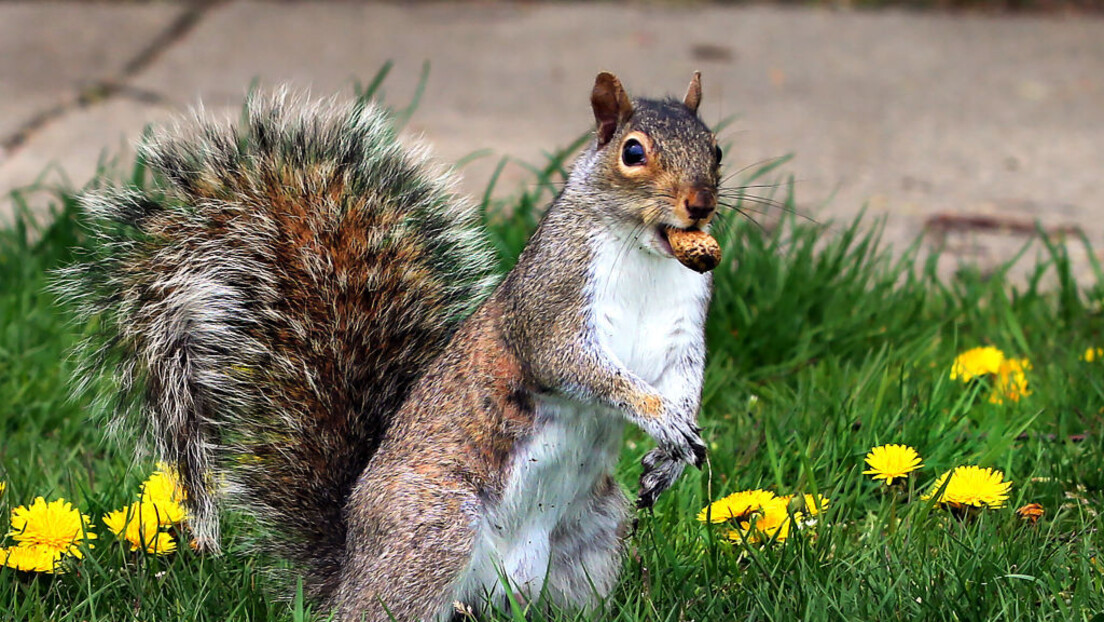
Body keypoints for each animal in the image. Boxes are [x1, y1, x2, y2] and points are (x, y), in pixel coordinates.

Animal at [64, 74, 728, 622]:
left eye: (716, 149)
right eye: (633, 152)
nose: (701, 204)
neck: (647, 252)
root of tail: (347, 576)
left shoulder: (684, 332)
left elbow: (687, 376)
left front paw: (672, 444)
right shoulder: (548, 306)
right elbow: (574, 364)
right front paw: (658, 417)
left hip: (591, 533)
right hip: (434, 532)